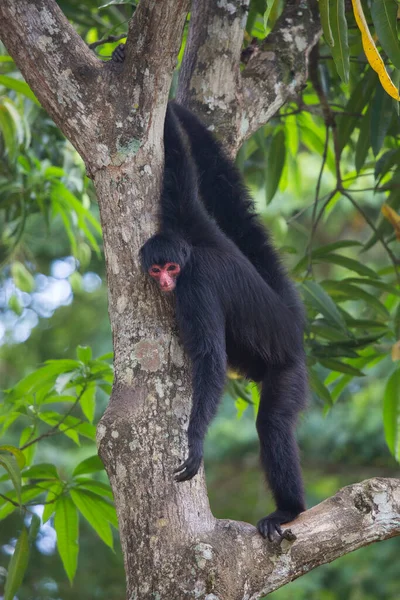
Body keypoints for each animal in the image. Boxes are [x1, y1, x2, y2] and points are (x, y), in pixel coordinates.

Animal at [114, 44, 308, 540]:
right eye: (157, 267)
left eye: (172, 269)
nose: (164, 281)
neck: (193, 254)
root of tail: (291, 326)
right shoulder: (188, 218)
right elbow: (181, 164)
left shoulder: (195, 287)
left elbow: (211, 359)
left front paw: (195, 442)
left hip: (289, 370)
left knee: (272, 423)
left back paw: (289, 510)